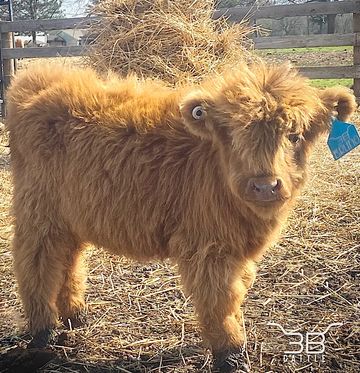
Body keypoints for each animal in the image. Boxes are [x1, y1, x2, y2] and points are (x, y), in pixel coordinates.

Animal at [7, 62, 356, 370]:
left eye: (294, 135)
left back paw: (76, 315)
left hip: (72, 216)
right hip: (39, 212)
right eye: (233, 136)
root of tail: (37, 78)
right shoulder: (210, 248)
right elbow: (221, 300)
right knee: (35, 261)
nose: (264, 186)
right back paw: (43, 331)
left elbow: (237, 292)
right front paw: (231, 354)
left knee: (68, 260)